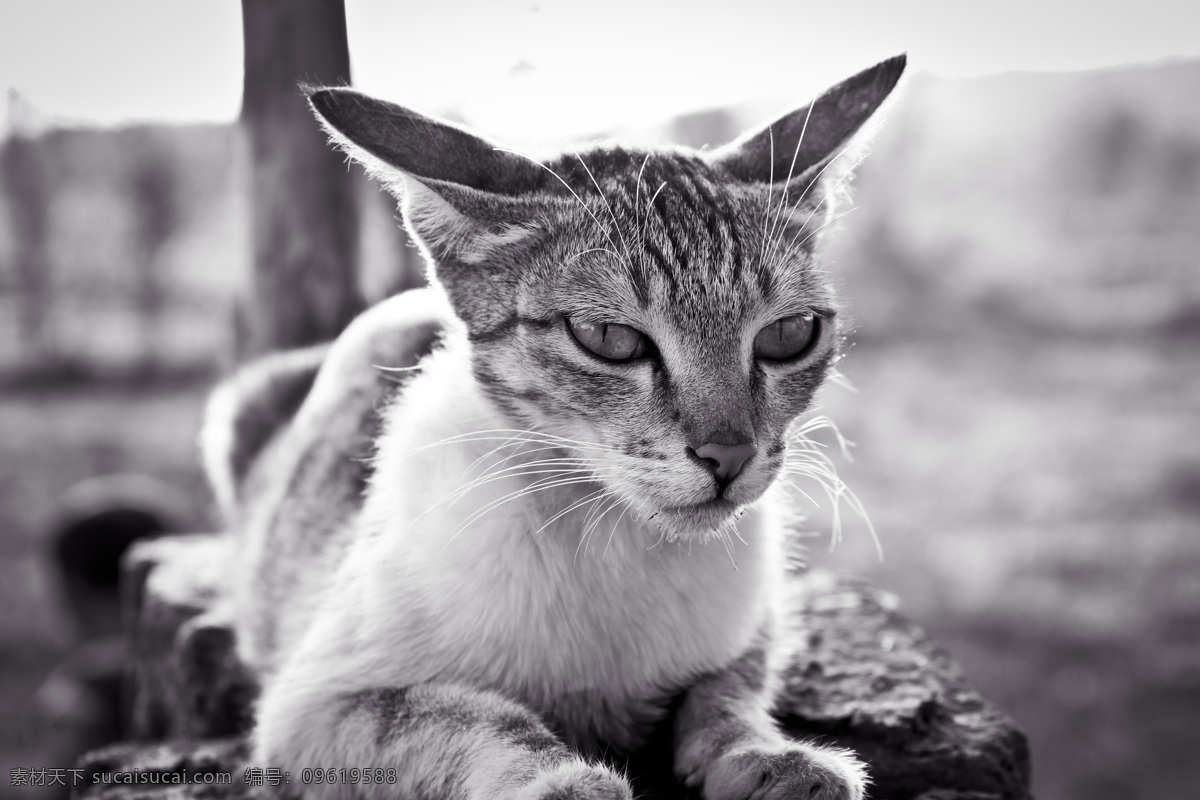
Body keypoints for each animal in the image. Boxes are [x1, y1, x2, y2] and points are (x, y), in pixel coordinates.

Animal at [204, 54, 902, 800]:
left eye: (789, 335)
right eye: (609, 339)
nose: (729, 455)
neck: (611, 535)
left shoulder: (755, 630)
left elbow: (726, 695)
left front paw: (768, 756)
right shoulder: (315, 706)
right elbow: (473, 714)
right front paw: (564, 779)